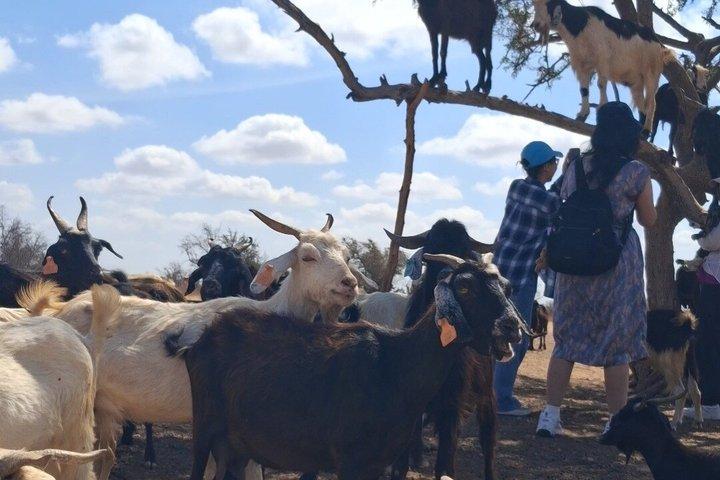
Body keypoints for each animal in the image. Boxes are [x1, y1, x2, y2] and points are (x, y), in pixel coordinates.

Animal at [174, 253, 523, 480]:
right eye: (464, 287)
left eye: (507, 288)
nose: (511, 327)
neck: (397, 365)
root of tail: (203, 336)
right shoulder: (352, 460)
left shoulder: (378, 462)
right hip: (205, 425)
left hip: (236, 443)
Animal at [385, 219, 504, 480]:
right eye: (429, 254)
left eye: (463, 252)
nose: (444, 276)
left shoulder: (453, 400)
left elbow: (446, 458)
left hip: (487, 396)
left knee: (488, 442)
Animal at [532, 0, 675, 133]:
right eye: (534, 4)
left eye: (549, 4)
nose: (535, 25)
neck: (581, 25)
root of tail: (660, 46)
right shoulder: (581, 64)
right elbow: (584, 90)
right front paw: (582, 115)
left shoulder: (602, 60)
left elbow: (601, 85)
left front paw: (601, 108)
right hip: (636, 82)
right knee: (641, 104)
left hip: (652, 74)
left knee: (651, 103)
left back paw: (646, 131)